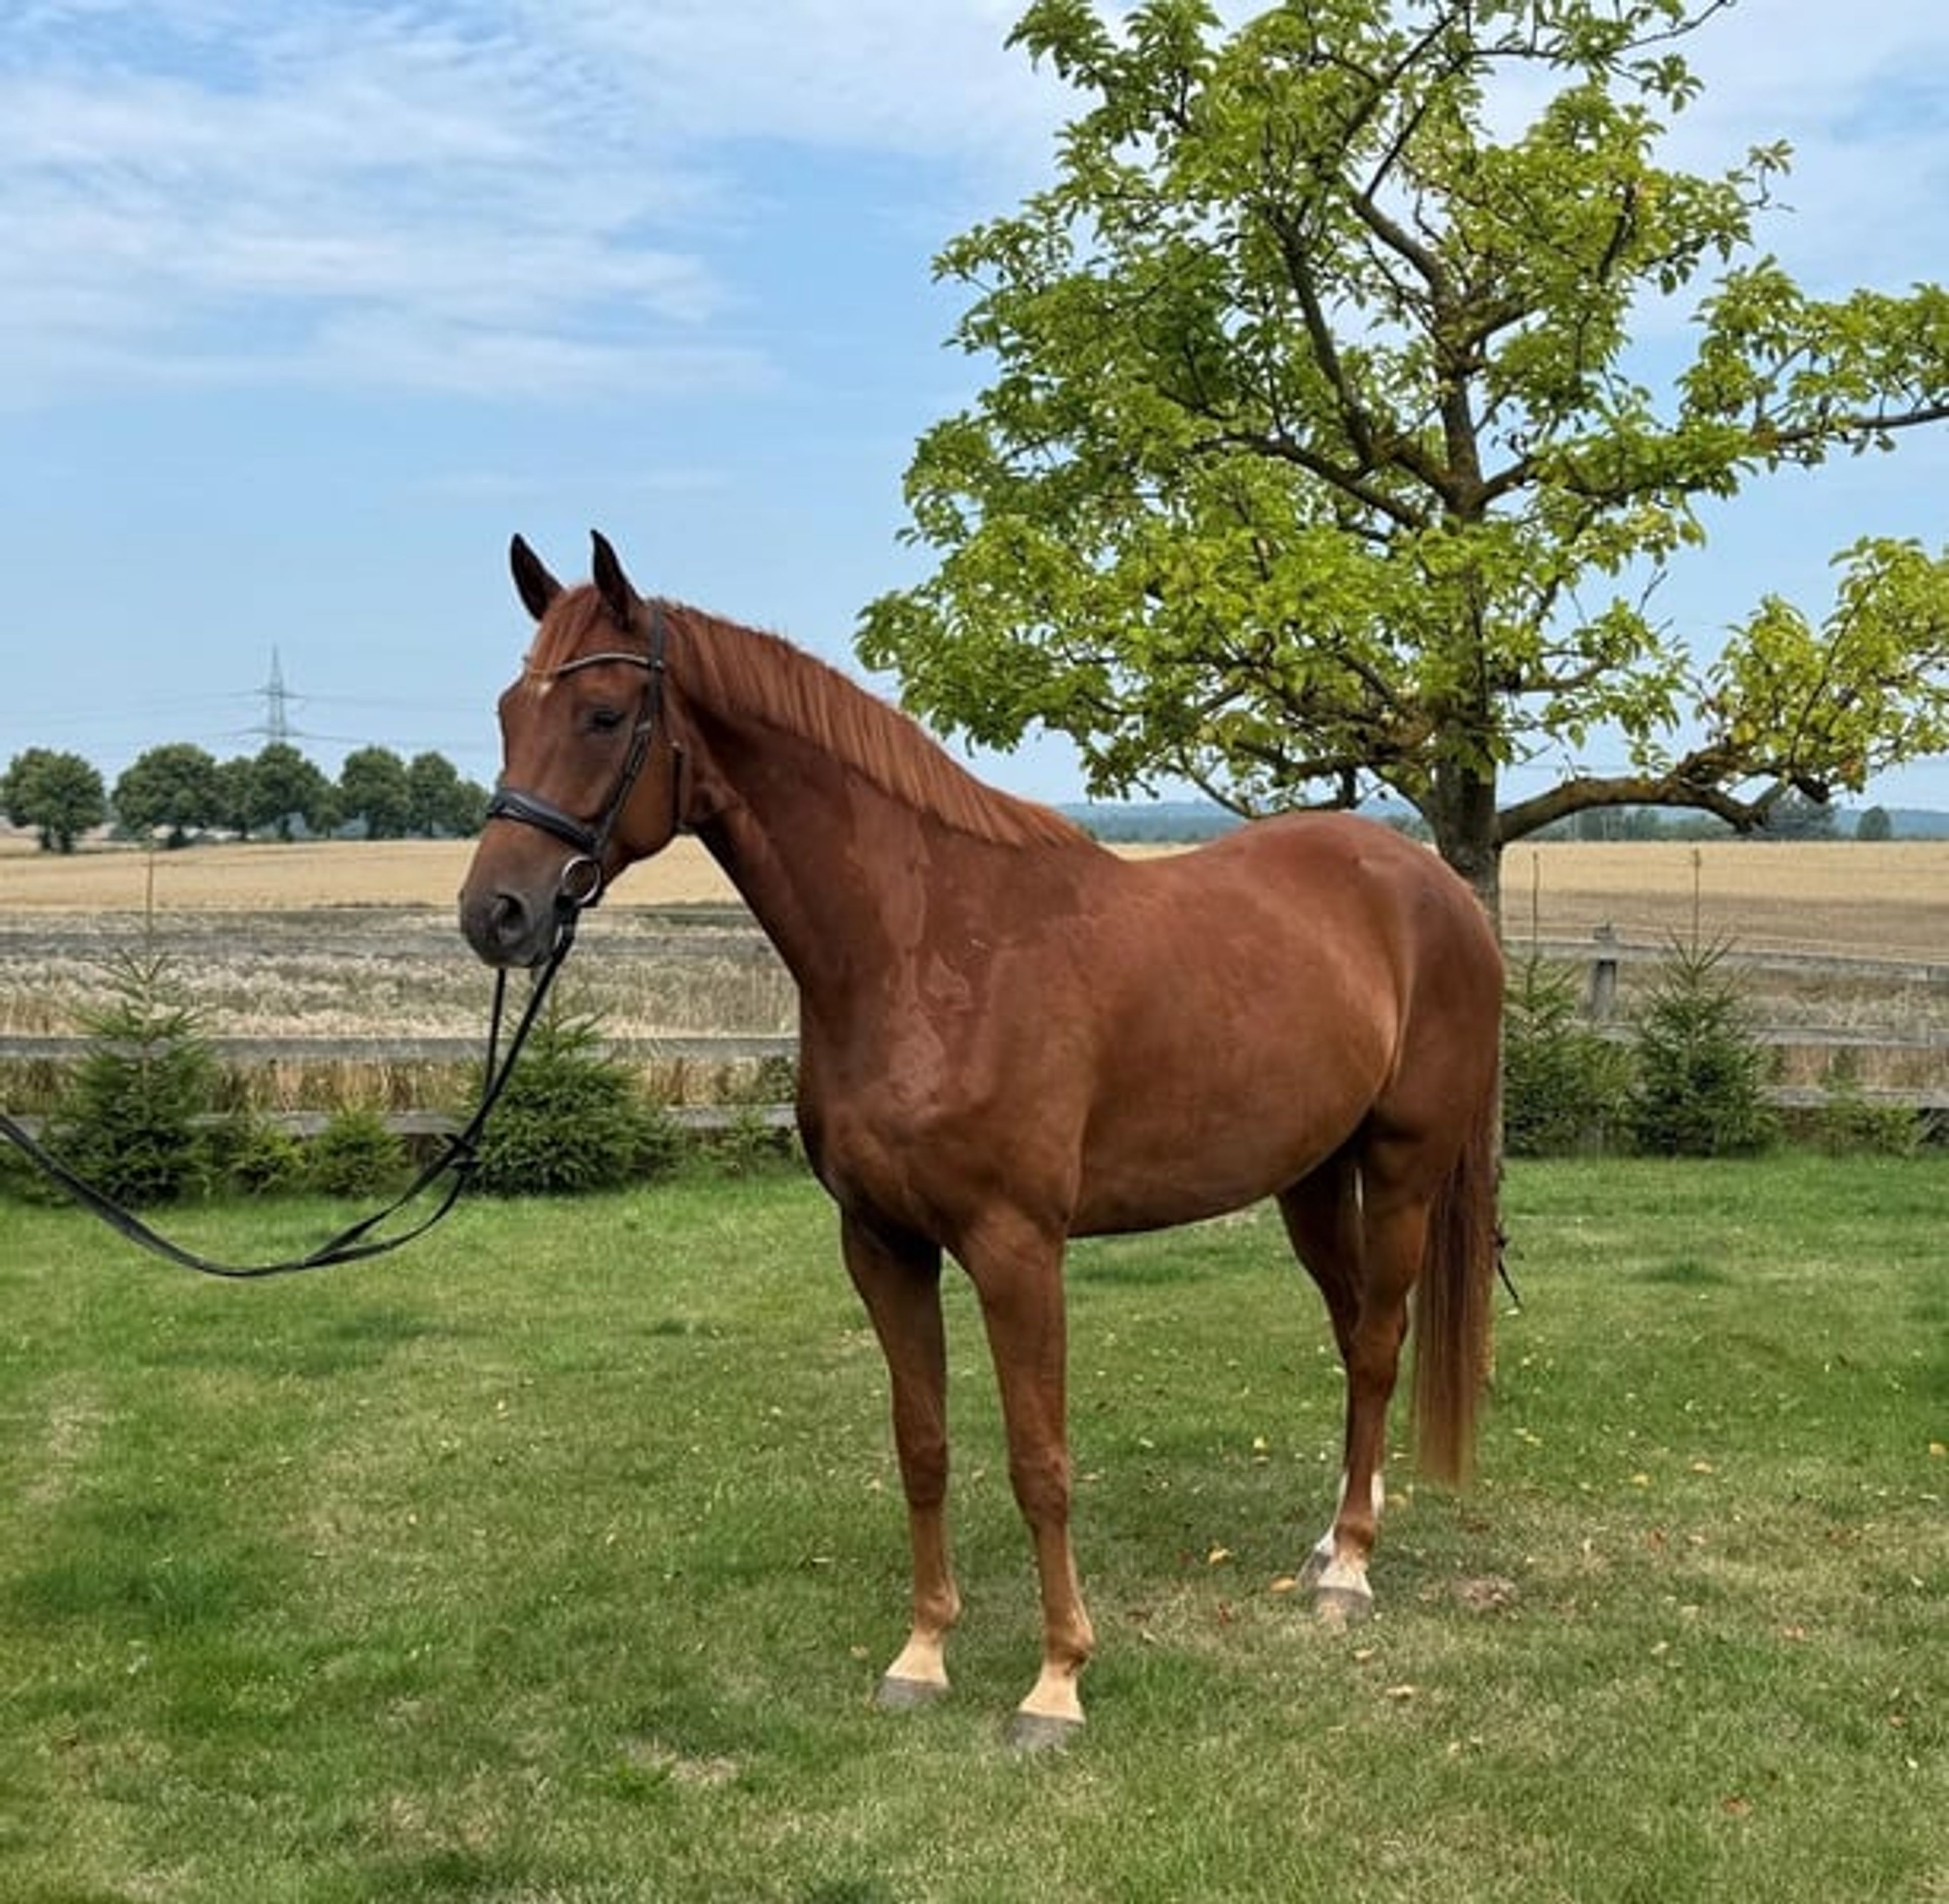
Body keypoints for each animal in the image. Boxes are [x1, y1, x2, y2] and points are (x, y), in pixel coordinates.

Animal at [459, 531, 1504, 1749]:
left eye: (604, 714)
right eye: (507, 711)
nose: (497, 915)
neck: (927, 951)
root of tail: (1436, 888)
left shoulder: (1017, 1249)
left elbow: (1038, 1459)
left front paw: (1057, 1681)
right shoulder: (882, 1245)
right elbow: (924, 1446)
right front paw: (922, 1654)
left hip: (1401, 1169)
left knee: (1379, 1343)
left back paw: (1351, 1571)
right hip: (1310, 1180)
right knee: (1355, 1335)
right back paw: (1338, 1533)